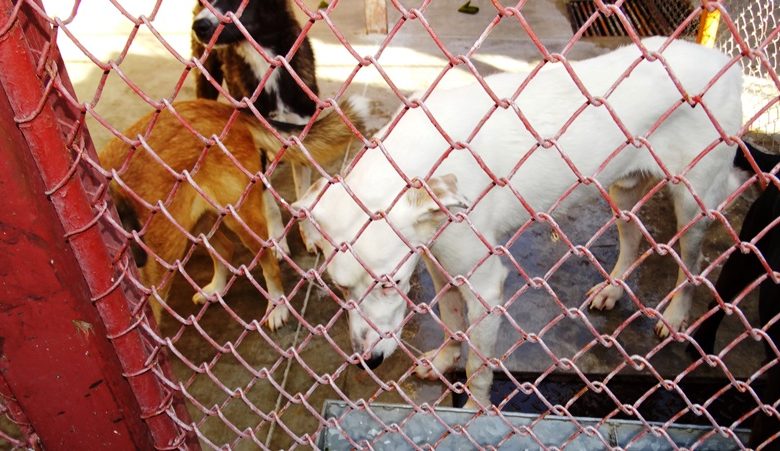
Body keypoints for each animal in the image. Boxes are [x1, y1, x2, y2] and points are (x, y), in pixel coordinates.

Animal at [100, 98, 364, 329]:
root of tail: (225, 110)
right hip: (197, 222)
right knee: (225, 248)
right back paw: (216, 289)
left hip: (241, 218)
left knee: (269, 263)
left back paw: (277, 308)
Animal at [191, 0, 320, 254]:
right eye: (205, 1)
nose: (198, 26)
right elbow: (269, 203)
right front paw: (277, 241)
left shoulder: (301, 137)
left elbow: (303, 197)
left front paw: (309, 236)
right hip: (206, 76)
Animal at [292, 37, 744, 408]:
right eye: (339, 287)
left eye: (392, 283)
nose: (368, 361)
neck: (423, 155)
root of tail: (723, 59)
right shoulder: (439, 262)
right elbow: (451, 322)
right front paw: (442, 361)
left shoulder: (485, 287)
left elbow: (478, 369)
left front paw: (474, 415)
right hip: (623, 191)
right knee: (632, 238)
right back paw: (612, 290)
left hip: (695, 203)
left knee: (691, 262)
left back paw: (675, 316)